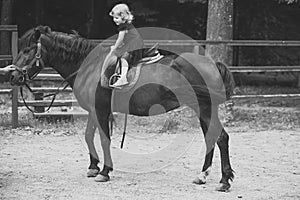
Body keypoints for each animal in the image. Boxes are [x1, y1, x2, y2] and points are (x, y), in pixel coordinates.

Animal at [11, 25, 234, 191]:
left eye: (28, 51)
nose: (13, 76)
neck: (89, 67)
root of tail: (212, 63)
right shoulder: (94, 110)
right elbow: (89, 136)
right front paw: (93, 167)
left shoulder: (101, 111)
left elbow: (103, 139)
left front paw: (104, 172)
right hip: (204, 109)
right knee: (212, 138)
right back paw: (203, 176)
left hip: (204, 108)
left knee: (220, 137)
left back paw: (224, 181)